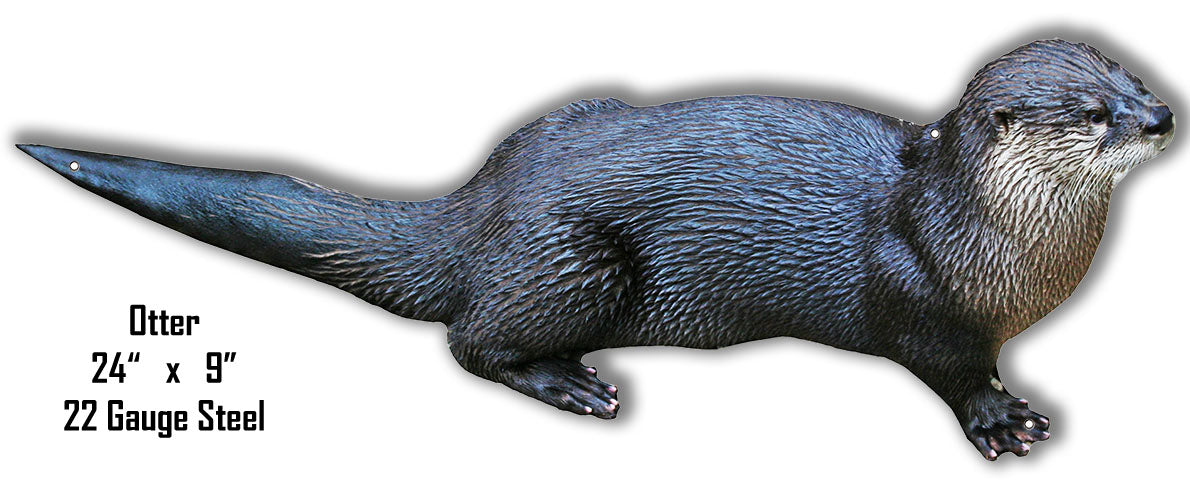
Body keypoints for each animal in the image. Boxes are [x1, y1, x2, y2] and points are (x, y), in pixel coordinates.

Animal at [19, 39, 1174, 459]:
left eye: (1129, 75)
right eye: (1090, 112)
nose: (1162, 115)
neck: (1000, 246)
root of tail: (481, 208)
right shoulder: (921, 301)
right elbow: (951, 367)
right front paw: (999, 417)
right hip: (572, 261)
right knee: (471, 341)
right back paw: (574, 385)